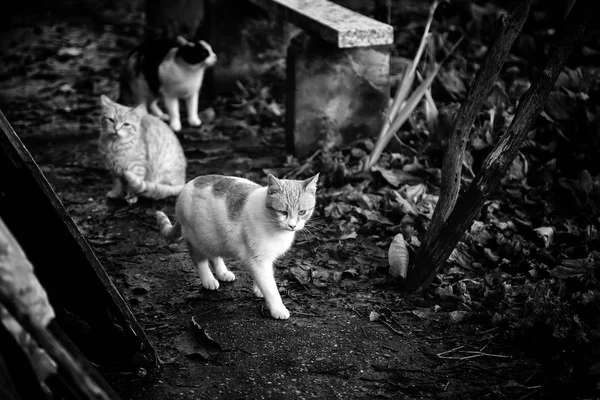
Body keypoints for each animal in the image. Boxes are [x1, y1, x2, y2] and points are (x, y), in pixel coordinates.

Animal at [157, 173, 322, 320]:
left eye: (302, 212)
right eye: (283, 212)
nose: (292, 225)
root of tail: (187, 185)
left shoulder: (264, 259)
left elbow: (263, 279)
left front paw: (258, 289)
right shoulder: (258, 260)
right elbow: (270, 288)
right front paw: (277, 308)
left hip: (214, 239)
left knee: (214, 256)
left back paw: (223, 273)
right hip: (197, 239)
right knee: (199, 260)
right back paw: (208, 279)